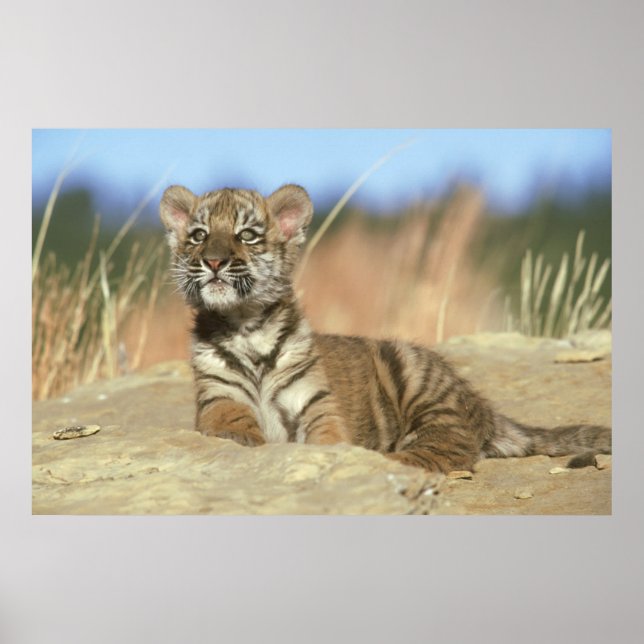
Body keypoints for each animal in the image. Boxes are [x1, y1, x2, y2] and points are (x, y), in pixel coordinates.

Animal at [159, 183, 611, 473]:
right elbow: (232, 420)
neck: (246, 322)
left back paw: (388, 457)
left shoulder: (316, 402)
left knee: (446, 449)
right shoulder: (217, 396)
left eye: (247, 235)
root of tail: (482, 406)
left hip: (419, 380)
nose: (213, 261)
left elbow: (326, 437)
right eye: (198, 235)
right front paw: (249, 441)